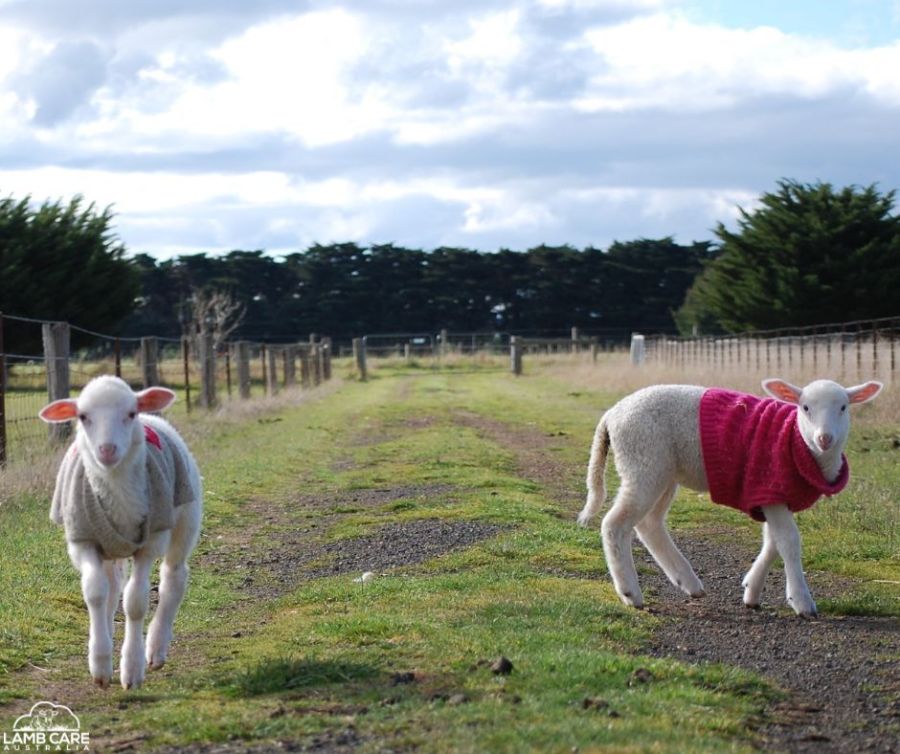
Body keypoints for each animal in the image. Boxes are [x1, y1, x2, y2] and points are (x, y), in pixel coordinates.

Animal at [39, 375, 202, 689]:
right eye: (83, 417)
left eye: (130, 414)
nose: (107, 450)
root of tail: (154, 416)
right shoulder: (83, 540)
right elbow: (95, 593)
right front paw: (100, 664)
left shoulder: (150, 543)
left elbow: (136, 601)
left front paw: (132, 668)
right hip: (109, 545)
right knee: (112, 587)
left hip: (185, 519)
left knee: (173, 578)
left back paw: (156, 648)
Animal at [577, 378, 882, 617]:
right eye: (805, 408)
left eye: (843, 408)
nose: (824, 439)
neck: (797, 440)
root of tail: (611, 415)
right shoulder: (770, 488)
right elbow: (789, 541)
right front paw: (801, 601)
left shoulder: (768, 496)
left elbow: (773, 542)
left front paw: (751, 591)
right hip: (643, 462)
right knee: (615, 524)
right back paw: (631, 593)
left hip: (662, 472)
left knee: (649, 524)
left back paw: (688, 583)